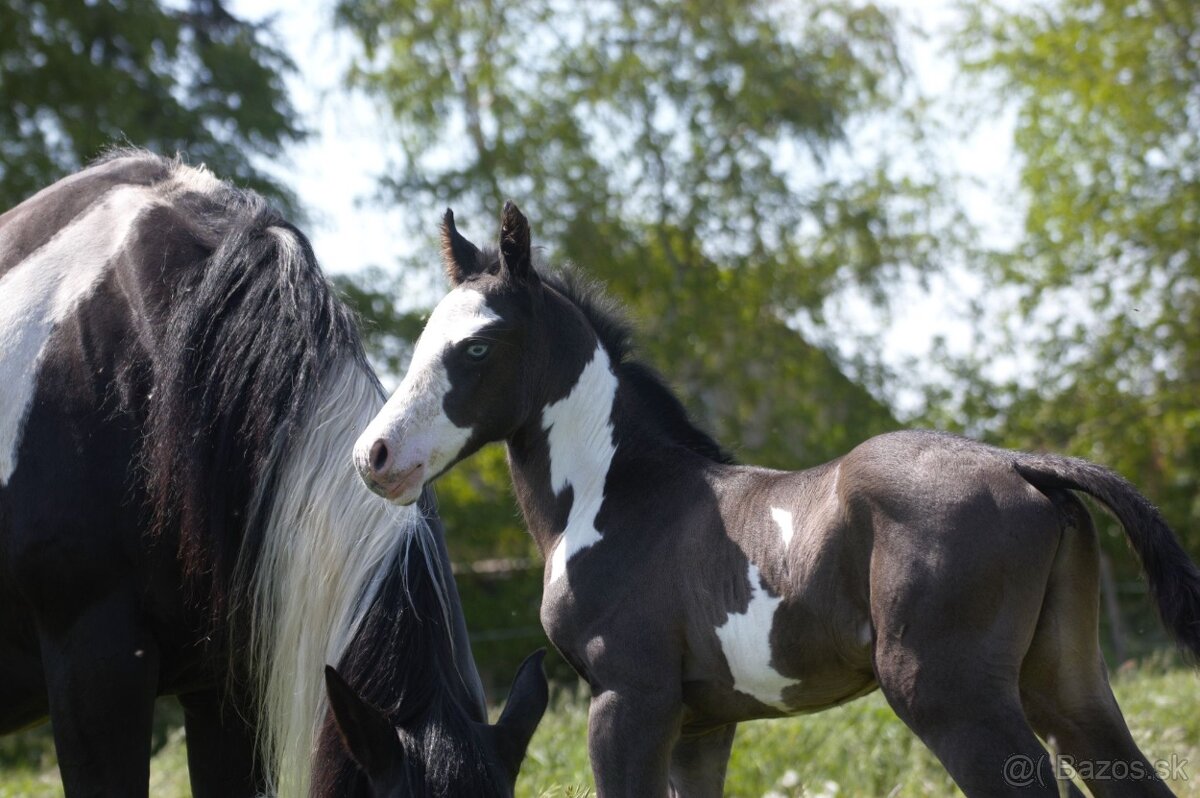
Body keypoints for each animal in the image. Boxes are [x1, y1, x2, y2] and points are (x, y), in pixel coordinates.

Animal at [354, 201, 1200, 797]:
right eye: (424, 338)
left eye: (476, 347)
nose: (375, 455)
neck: (618, 495)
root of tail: (1026, 466)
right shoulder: (701, 725)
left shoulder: (628, 700)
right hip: (1066, 684)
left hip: (951, 697)